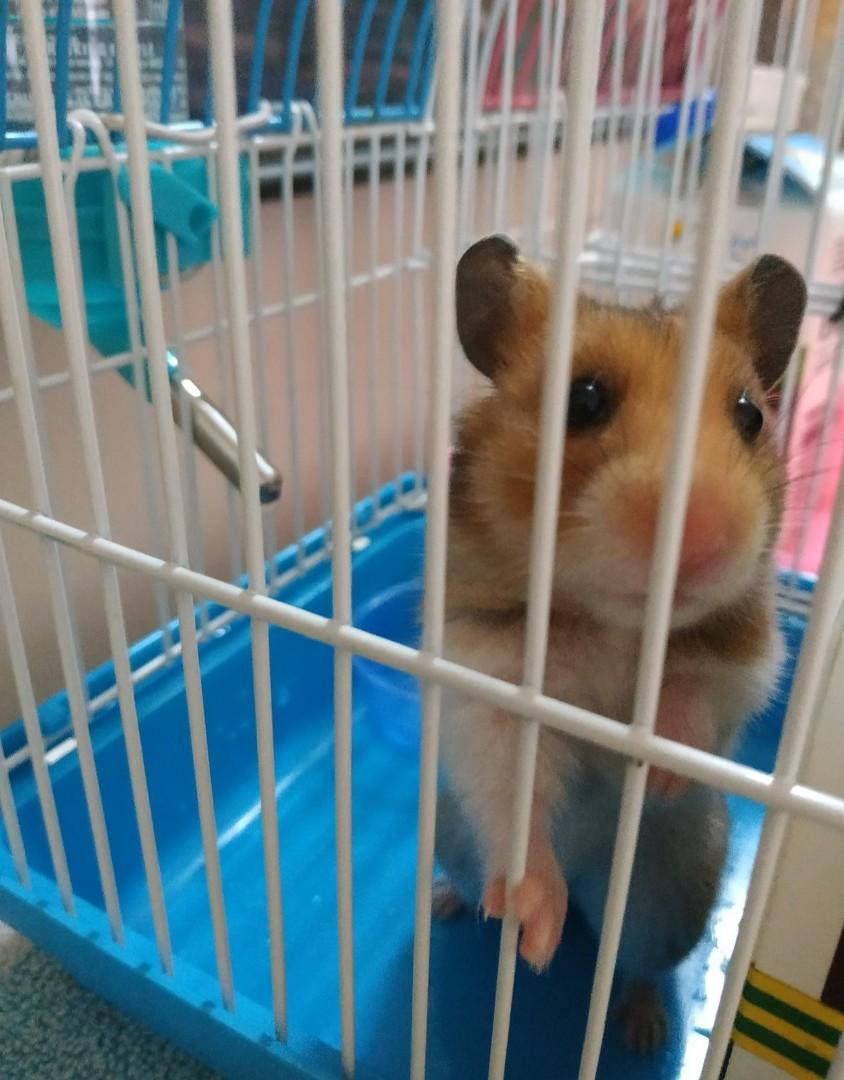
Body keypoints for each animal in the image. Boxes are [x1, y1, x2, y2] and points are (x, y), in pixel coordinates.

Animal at [433, 235, 807, 1050]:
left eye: (749, 416)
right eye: (584, 400)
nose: (701, 539)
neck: (613, 620)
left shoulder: (750, 654)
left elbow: (695, 691)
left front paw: (658, 774)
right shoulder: (488, 676)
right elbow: (513, 784)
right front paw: (533, 937)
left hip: (666, 900)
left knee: (635, 963)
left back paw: (642, 1030)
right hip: (453, 837)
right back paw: (465, 909)